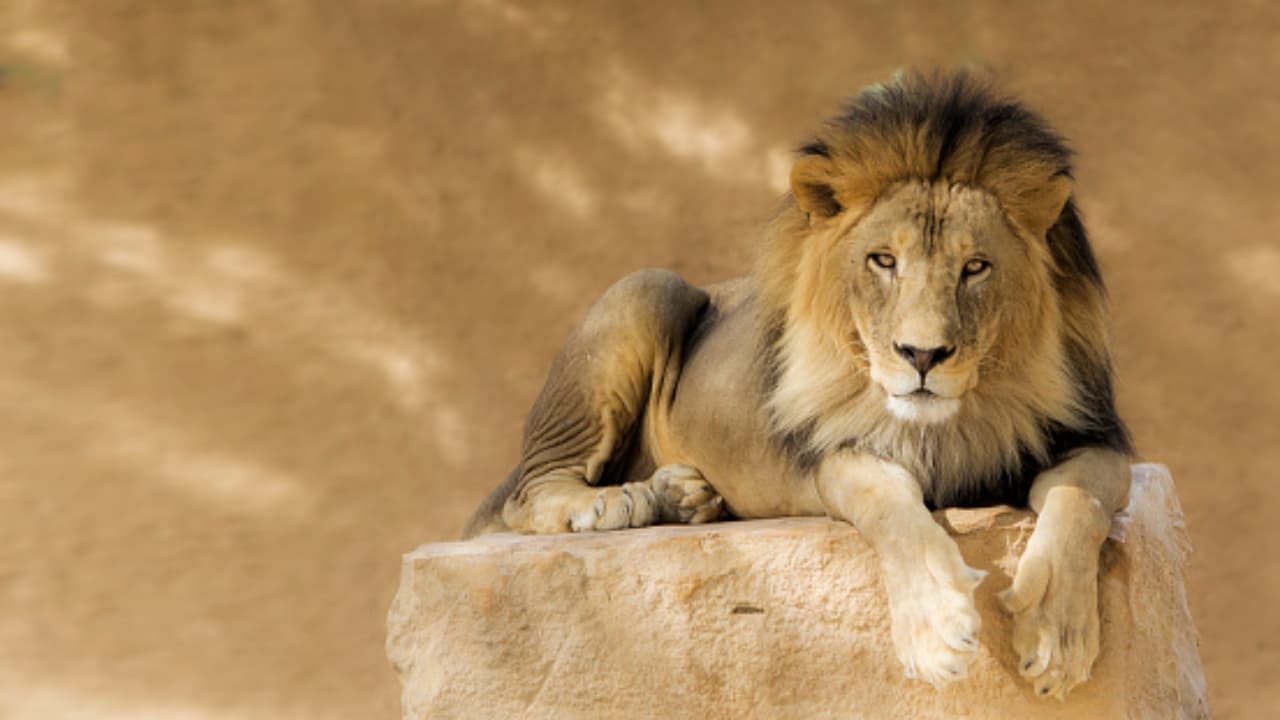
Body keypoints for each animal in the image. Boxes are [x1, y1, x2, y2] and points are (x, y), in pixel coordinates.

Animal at [463, 71, 1132, 700]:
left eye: (975, 268)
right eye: (884, 261)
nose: (922, 355)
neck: (953, 422)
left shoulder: (1098, 439)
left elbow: (1081, 499)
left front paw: (1055, 636)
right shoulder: (826, 459)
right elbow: (887, 500)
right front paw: (935, 629)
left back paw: (682, 497)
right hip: (647, 287)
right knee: (529, 494)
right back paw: (608, 503)